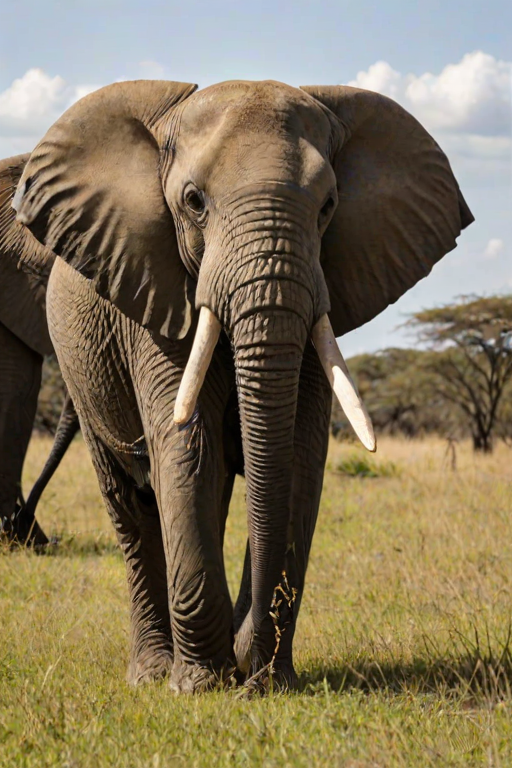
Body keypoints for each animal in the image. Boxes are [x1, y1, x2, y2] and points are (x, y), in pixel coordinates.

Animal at [12, 79, 473, 691]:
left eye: (328, 206)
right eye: (193, 202)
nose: (250, 669)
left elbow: (296, 455)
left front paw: (266, 678)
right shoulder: (156, 292)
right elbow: (189, 445)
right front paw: (202, 685)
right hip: (79, 369)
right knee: (128, 499)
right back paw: (154, 673)